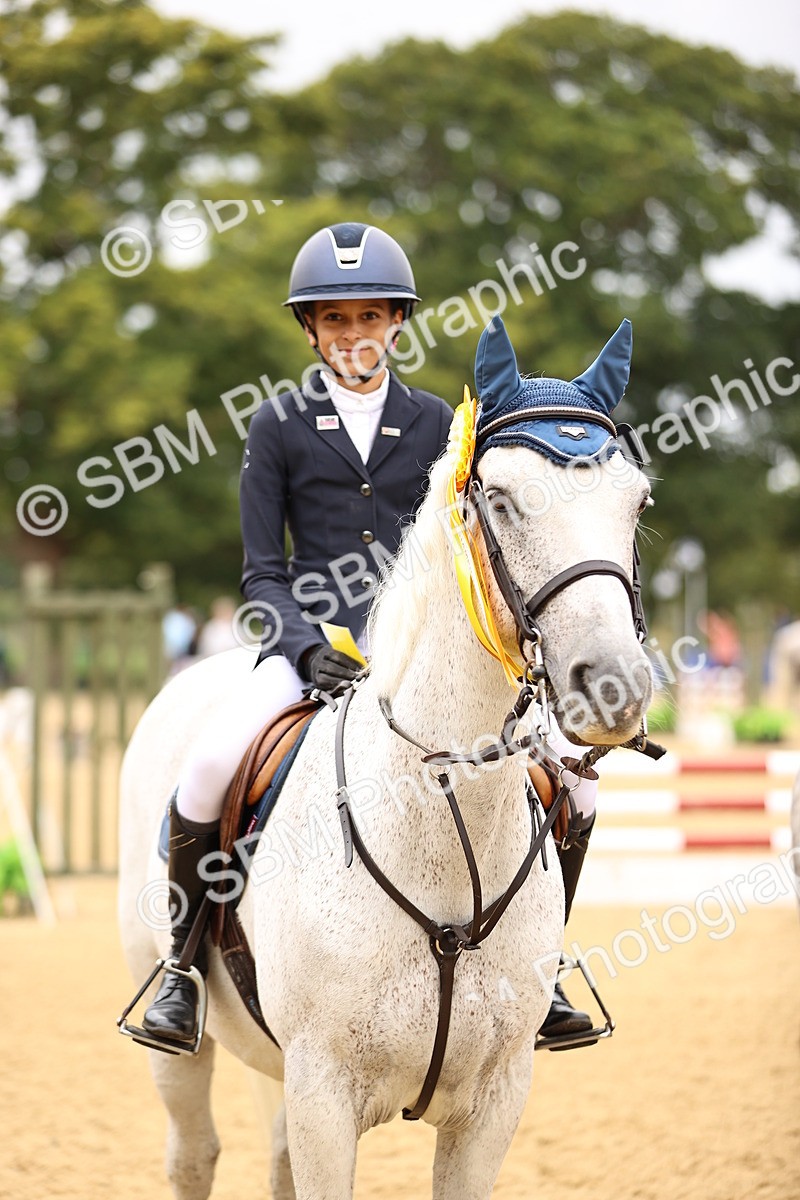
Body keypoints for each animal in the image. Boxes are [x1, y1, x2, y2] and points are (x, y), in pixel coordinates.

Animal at [118, 316, 654, 1199]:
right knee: (193, 1153)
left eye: (636, 501)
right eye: (499, 500)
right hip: (189, 1049)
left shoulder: (492, 1105)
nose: (612, 686)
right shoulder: (325, 1096)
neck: (441, 821)